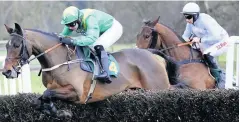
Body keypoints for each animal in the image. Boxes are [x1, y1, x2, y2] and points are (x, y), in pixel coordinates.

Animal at [2, 22, 182, 117]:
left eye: (17, 45)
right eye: (6, 46)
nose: (6, 71)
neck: (61, 61)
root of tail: (151, 54)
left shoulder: (78, 94)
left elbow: (47, 94)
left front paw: (59, 112)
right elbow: (40, 99)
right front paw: (52, 110)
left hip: (157, 89)